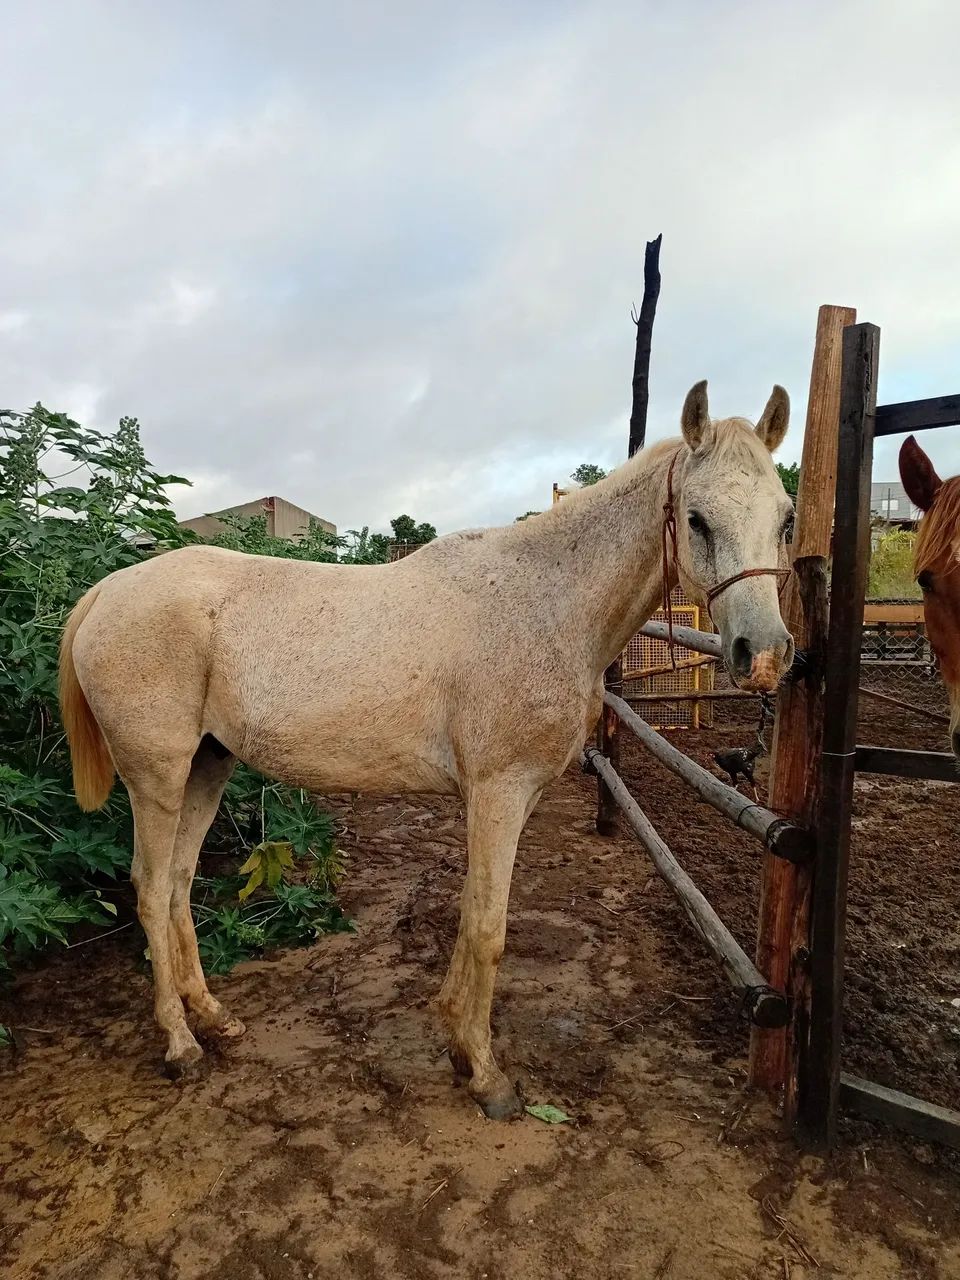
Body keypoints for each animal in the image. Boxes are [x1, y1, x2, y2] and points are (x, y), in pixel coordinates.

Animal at [59, 380, 795, 1119]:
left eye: (786, 519)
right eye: (697, 519)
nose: (761, 655)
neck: (544, 603)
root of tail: (105, 593)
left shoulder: (499, 799)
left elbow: (471, 913)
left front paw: (456, 1039)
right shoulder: (499, 792)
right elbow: (490, 927)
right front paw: (488, 1076)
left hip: (207, 767)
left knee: (179, 886)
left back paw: (213, 1017)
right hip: (156, 777)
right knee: (151, 888)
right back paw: (181, 1045)